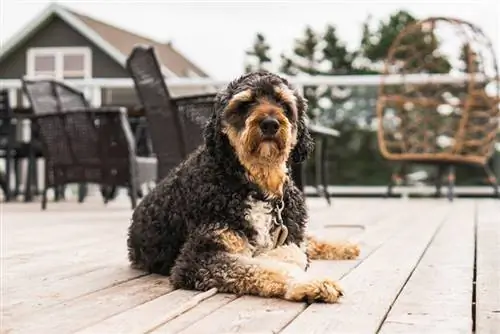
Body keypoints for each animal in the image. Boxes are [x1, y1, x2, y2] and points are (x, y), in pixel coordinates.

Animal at [126, 70, 360, 302]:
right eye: (245, 104)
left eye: (283, 104)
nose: (270, 123)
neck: (258, 186)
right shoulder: (200, 257)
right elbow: (266, 264)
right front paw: (308, 282)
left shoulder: (291, 232)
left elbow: (293, 252)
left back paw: (344, 246)